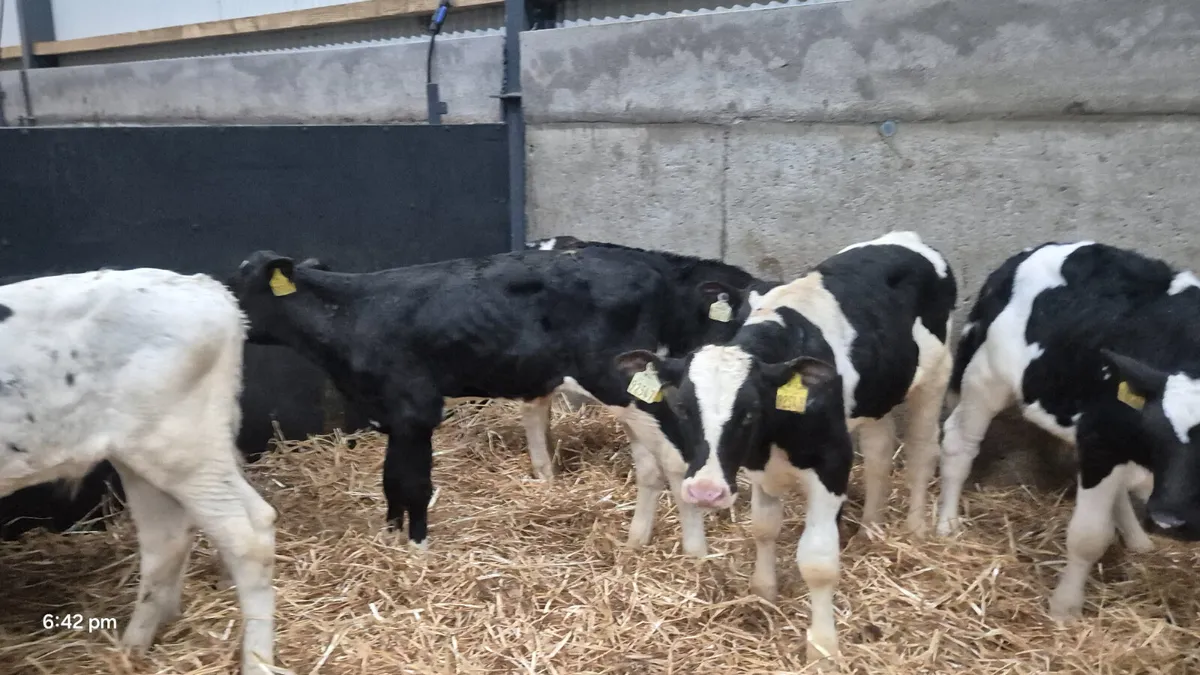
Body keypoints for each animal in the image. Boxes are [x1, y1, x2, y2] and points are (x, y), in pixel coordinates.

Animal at [0, 268, 275, 673]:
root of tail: (204, 286)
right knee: (185, 535)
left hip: (179, 445)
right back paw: (133, 648)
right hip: (164, 452)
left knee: (245, 541)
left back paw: (257, 661)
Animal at [228, 246, 770, 556]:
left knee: (676, 456)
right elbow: (390, 482)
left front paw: (418, 552)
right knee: (651, 462)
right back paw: (639, 541)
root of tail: (651, 268)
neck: (352, 314)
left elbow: (414, 484)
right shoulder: (389, 414)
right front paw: (390, 538)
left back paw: (695, 552)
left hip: (625, 384)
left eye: (234, 287)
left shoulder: (415, 408)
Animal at [614, 231, 957, 662]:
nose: (705, 492)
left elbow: (818, 561)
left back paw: (915, 530)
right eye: (681, 407)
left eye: (749, 412)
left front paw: (823, 647)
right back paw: (870, 531)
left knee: (921, 452)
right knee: (880, 453)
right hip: (876, 398)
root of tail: (905, 237)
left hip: (936, 377)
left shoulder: (832, 462)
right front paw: (764, 592)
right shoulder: (758, 466)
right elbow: (763, 528)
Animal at [935, 241, 1200, 620]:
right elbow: (1088, 536)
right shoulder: (1101, 431)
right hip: (987, 376)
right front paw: (1065, 609)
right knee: (960, 442)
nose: (1167, 520)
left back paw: (1139, 542)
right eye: (1157, 435)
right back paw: (947, 523)